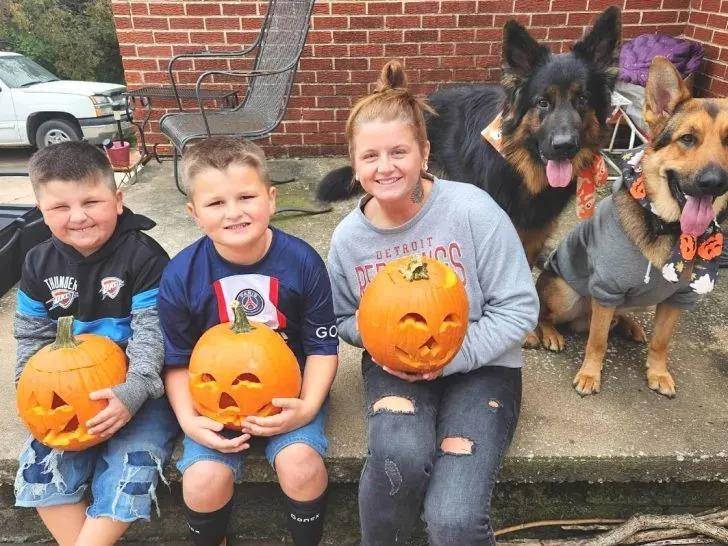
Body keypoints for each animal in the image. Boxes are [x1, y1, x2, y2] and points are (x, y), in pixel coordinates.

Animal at [528, 56, 728, 396]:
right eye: (687, 139)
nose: (713, 181)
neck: (666, 228)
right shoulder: (606, 288)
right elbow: (597, 341)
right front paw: (589, 375)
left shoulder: (678, 298)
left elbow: (662, 341)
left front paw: (658, 373)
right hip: (565, 292)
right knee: (549, 313)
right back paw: (552, 333)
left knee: (618, 320)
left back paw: (631, 327)